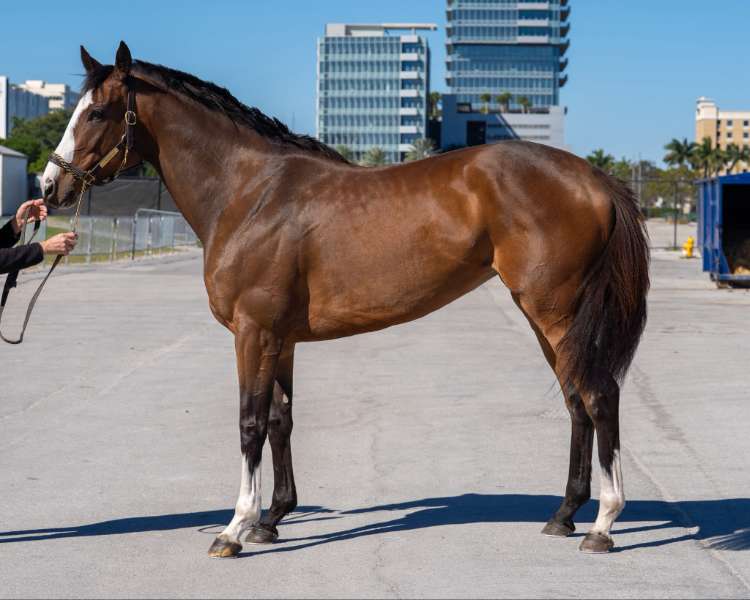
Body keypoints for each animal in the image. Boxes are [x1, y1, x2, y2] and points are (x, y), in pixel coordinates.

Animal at [42, 42, 649, 558]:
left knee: (598, 397)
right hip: (546, 318)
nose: (52, 187)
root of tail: (594, 178)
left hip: (556, 310)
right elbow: (281, 420)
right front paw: (272, 520)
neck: (250, 194)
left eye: (97, 113)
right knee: (576, 401)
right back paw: (564, 515)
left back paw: (601, 526)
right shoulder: (280, 338)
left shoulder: (253, 332)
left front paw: (235, 528)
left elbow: (249, 422)